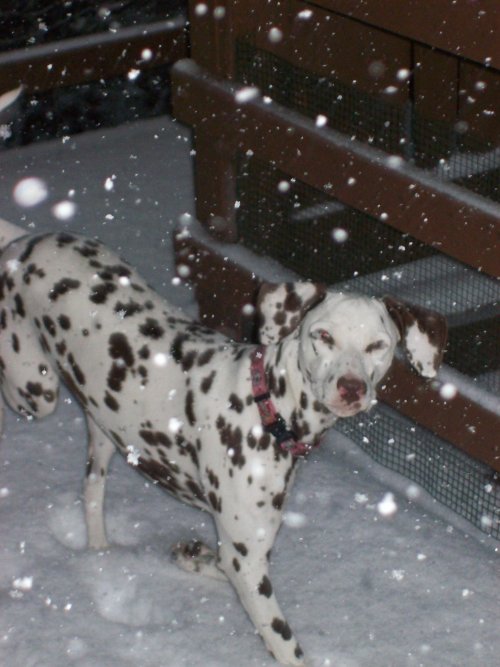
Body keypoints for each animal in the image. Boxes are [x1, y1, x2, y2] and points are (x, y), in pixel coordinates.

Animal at [0, 219, 446, 664]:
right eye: (322, 335)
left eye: (378, 345)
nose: (351, 388)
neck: (267, 408)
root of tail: (24, 239)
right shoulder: (247, 560)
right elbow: (285, 644)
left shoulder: (249, 549)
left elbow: (218, 561)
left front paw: (192, 556)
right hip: (35, 390)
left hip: (100, 424)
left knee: (93, 489)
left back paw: (100, 551)